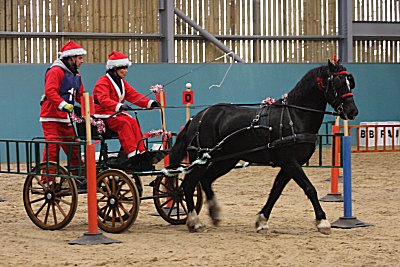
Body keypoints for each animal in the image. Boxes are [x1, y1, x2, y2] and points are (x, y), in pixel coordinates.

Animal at [167, 59, 358, 236]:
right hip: (202, 159)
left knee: (205, 180)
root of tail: (197, 118)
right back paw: (194, 222)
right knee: (188, 185)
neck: (295, 116)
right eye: (338, 83)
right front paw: (322, 221)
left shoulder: (288, 165)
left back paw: (214, 213)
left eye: (350, 82)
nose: (352, 111)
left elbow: (275, 191)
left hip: (226, 160)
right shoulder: (290, 162)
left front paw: (262, 220)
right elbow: (309, 188)